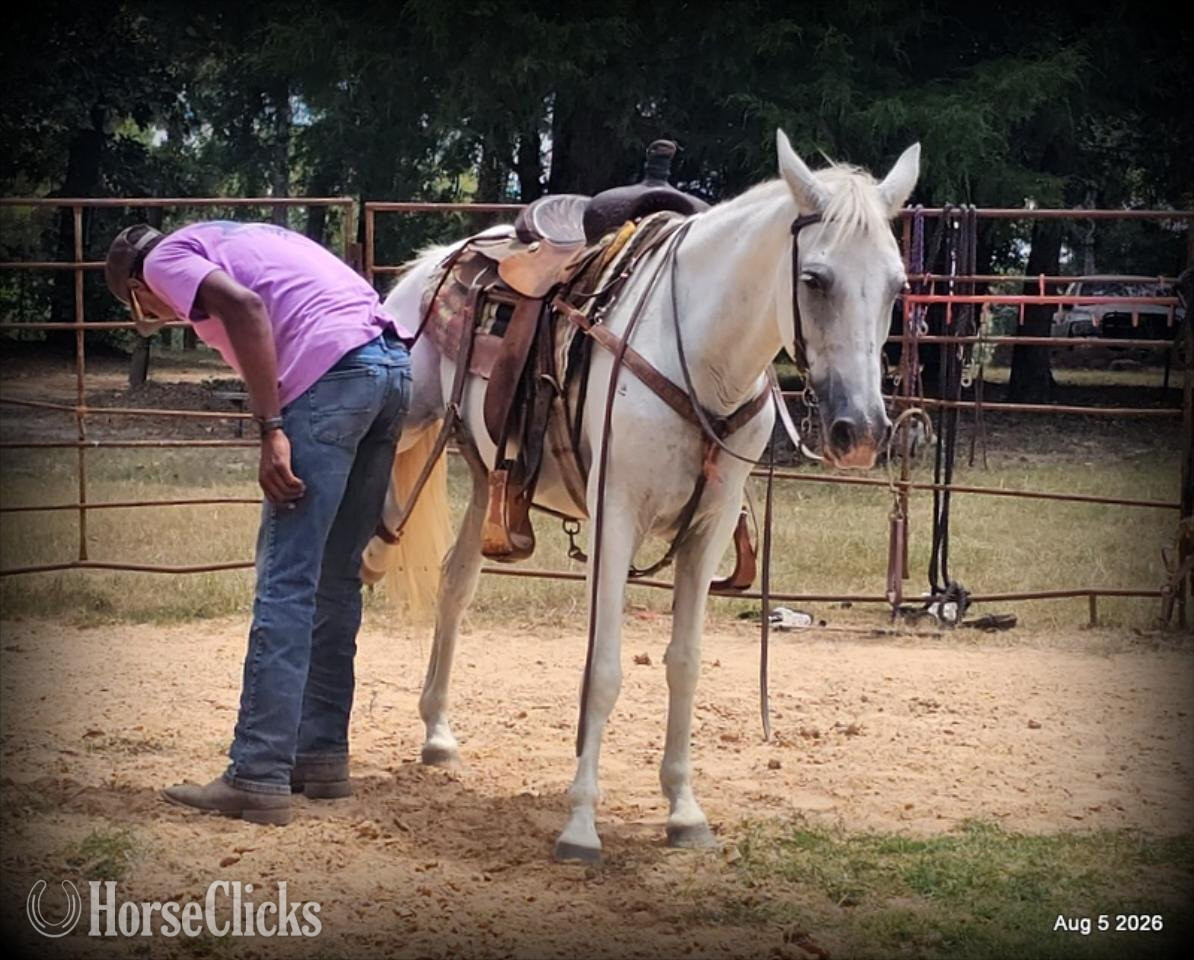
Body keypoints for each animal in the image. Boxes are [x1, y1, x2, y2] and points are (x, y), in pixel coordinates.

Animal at [361, 129, 920, 862]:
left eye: (897, 286)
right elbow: (602, 670)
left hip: (486, 477)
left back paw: (437, 733)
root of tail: (435, 263)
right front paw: (580, 825)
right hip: (406, 430)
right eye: (814, 279)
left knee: (455, 584)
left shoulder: (709, 530)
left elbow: (684, 664)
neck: (704, 358)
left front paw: (684, 812)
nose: (862, 431)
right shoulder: (615, 517)